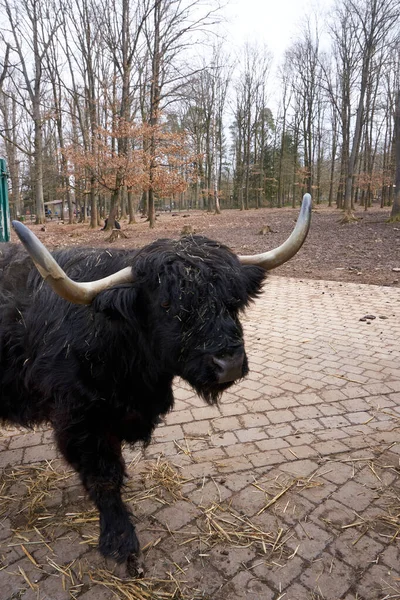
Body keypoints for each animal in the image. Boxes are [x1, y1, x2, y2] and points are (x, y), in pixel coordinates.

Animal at [0, 195, 310, 564]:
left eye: (232, 301)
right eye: (165, 304)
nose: (229, 364)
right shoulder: (78, 420)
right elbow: (104, 476)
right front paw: (120, 540)